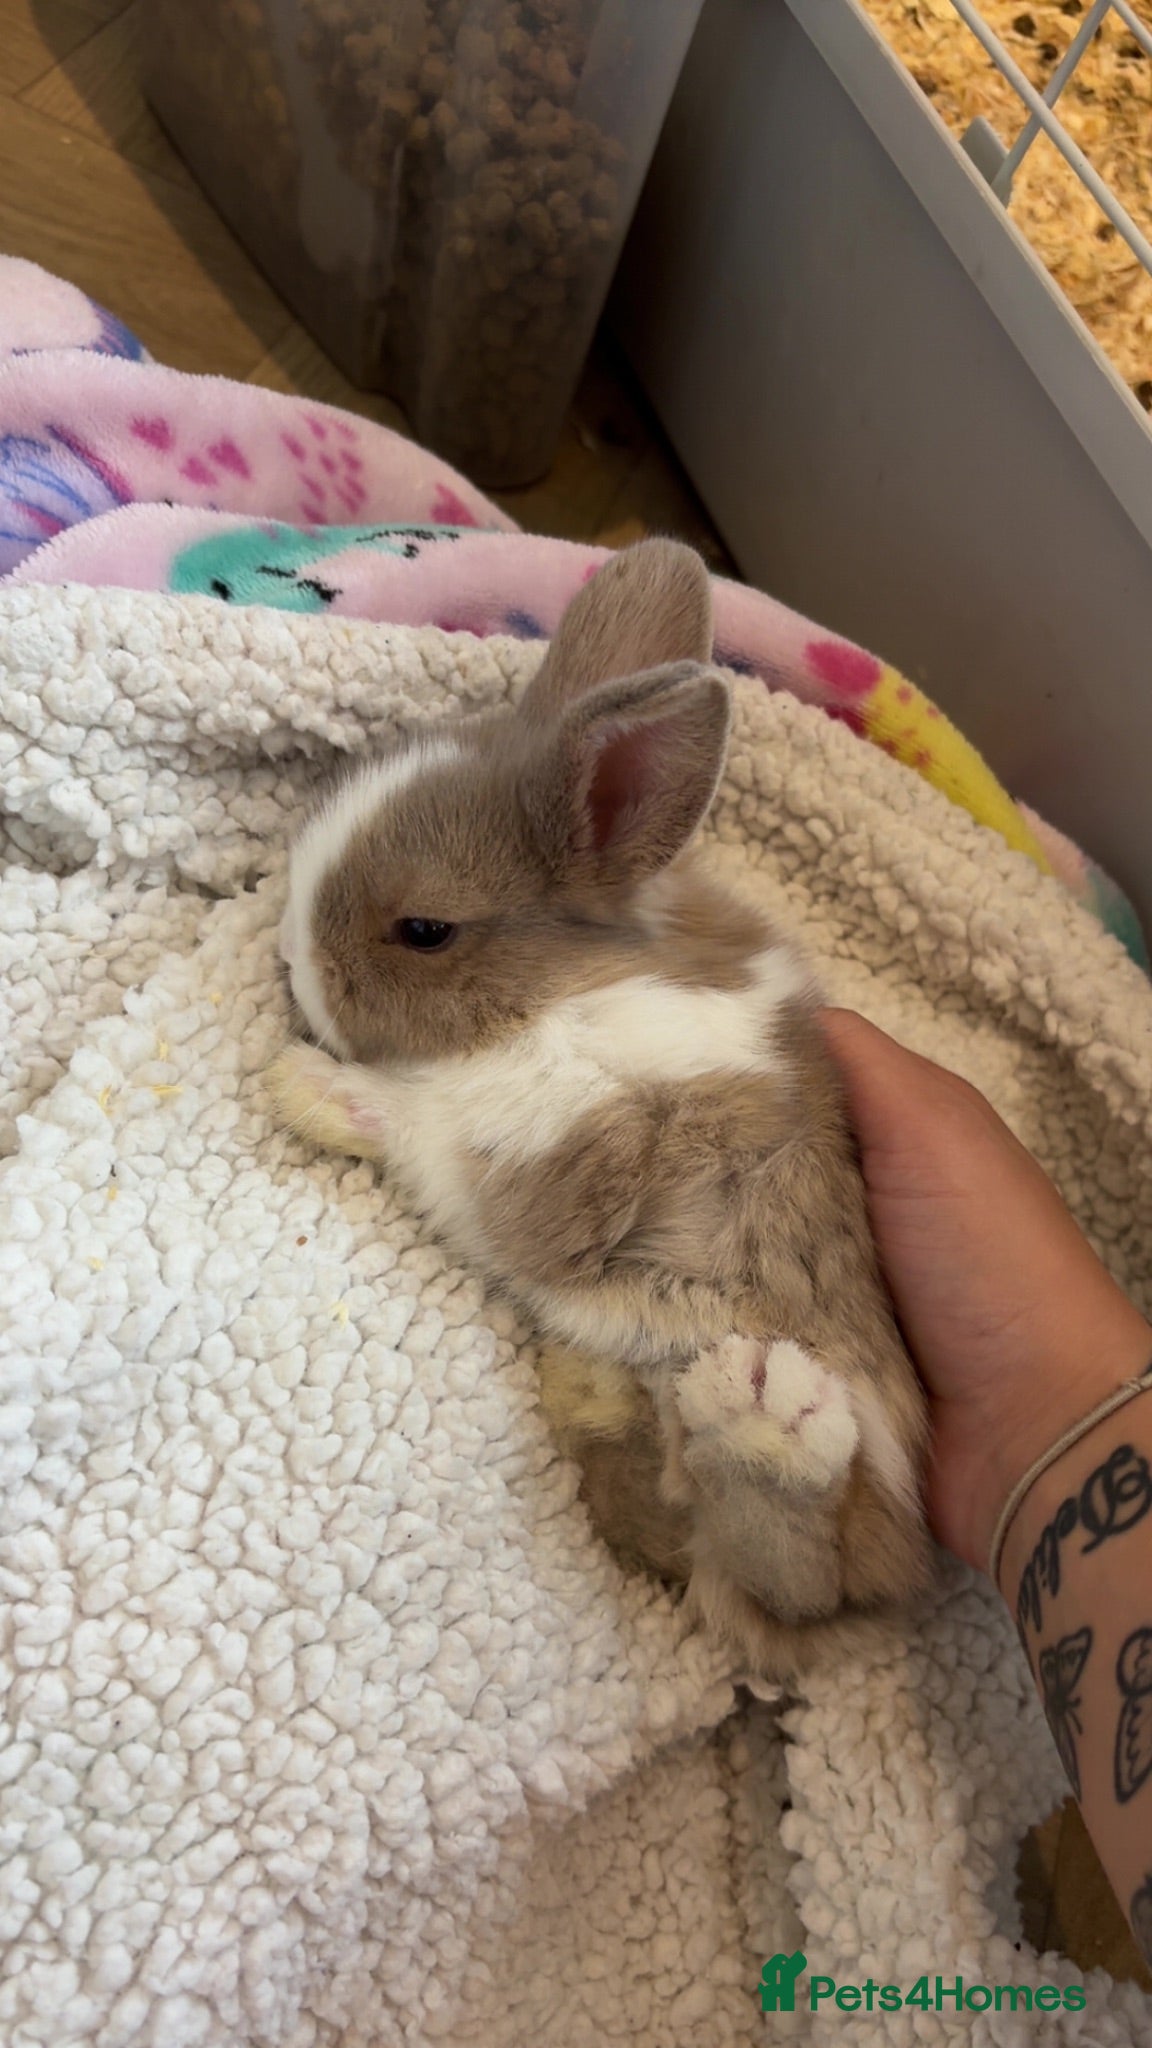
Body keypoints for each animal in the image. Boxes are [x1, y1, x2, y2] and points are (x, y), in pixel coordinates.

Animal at [267, 538, 932, 1680]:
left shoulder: (564, 1158)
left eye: (425, 928)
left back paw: (769, 1415)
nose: (296, 972)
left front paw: (305, 1084)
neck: (562, 989)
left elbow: (432, 1135)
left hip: (842, 1492)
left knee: (793, 1576)